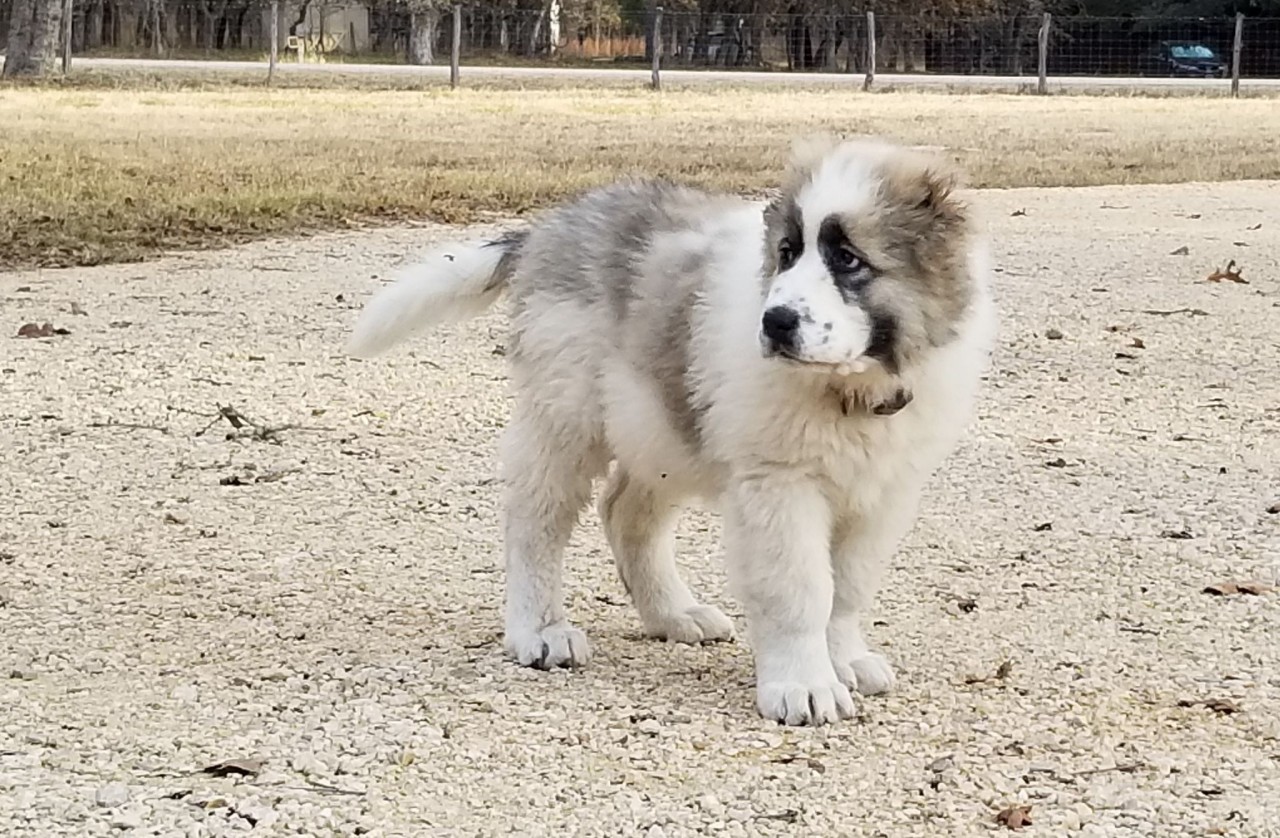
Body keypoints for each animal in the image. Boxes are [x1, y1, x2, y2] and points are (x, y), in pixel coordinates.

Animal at [345, 137, 993, 726]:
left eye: (849, 260)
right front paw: (802, 684)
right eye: (786, 253)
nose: (775, 322)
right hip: (566, 415)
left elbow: (849, 587)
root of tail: (553, 226)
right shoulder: (778, 486)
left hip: (659, 426)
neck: (849, 386)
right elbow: (800, 590)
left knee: (626, 514)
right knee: (536, 520)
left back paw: (672, 615)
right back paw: (539, 630)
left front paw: (844, 659)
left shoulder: (884, 492)